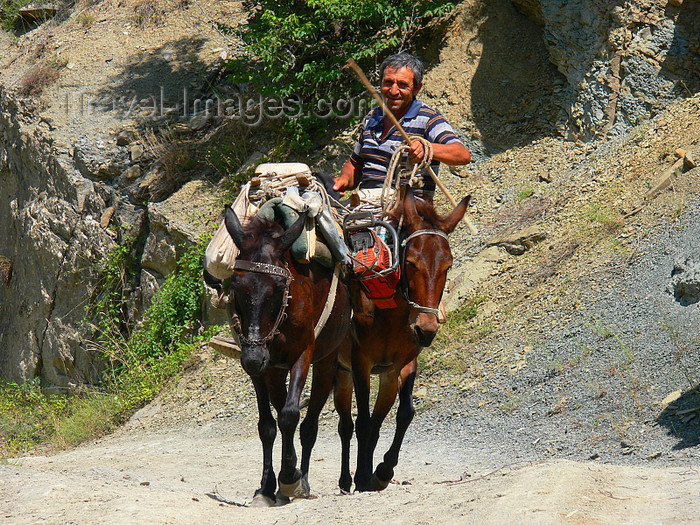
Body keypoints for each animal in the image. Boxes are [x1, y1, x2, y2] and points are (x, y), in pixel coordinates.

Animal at [206, 205, 350, 504]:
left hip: (326, 360)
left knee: (309, 425)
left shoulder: (302, 355)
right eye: (236, 286)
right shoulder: (263, 369)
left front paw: (289, 477)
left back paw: (303, 480)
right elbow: (268, 425)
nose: (254, 358)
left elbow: (289, 415)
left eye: (280, 287)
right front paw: (266, 485)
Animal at [334, 188, 470, 492]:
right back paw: (346, 478)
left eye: (448, 264)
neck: (389, 312)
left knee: (374, 422)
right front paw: (363, 475)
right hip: (340, 371)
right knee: (345, 425)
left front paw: (381, 471)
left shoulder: (403, 365)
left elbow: (403, 414)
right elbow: (362, 422)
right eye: (411, 262)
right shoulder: (360, 364)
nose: (426, 329)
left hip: (382, 378)